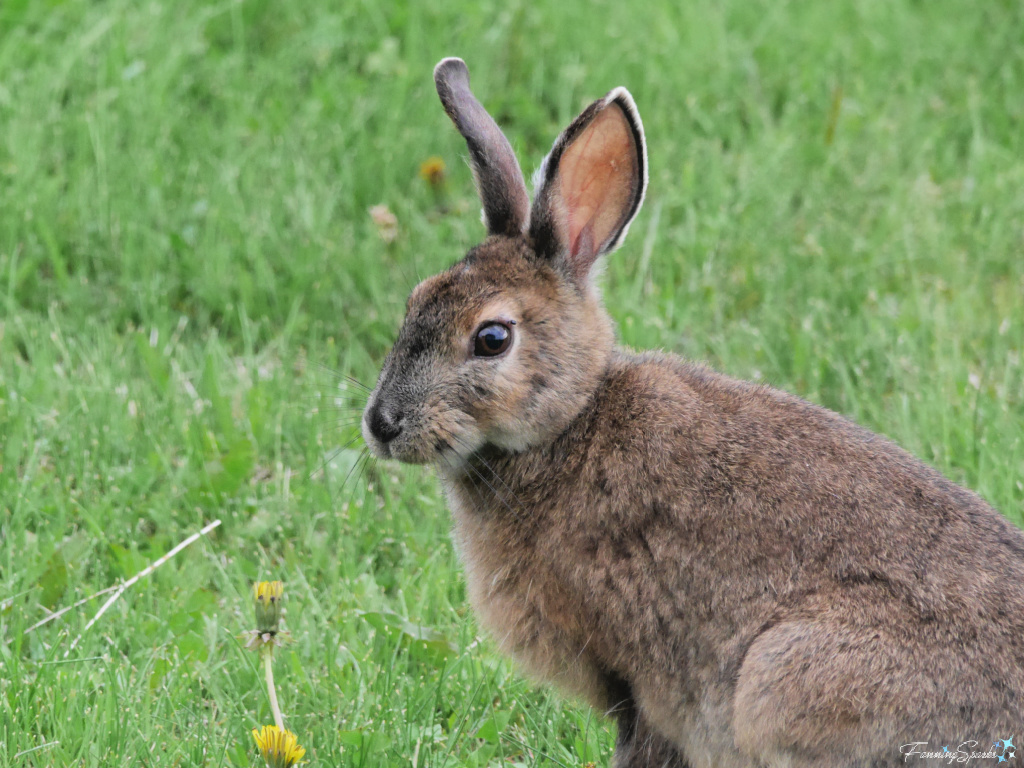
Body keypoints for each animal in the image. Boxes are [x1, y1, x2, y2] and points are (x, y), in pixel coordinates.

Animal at [361, 57, 1024, 768]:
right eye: (415, 301)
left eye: (492, 338)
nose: (382, 425)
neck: (569, 425)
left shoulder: (643, 681)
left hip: (783, 677)